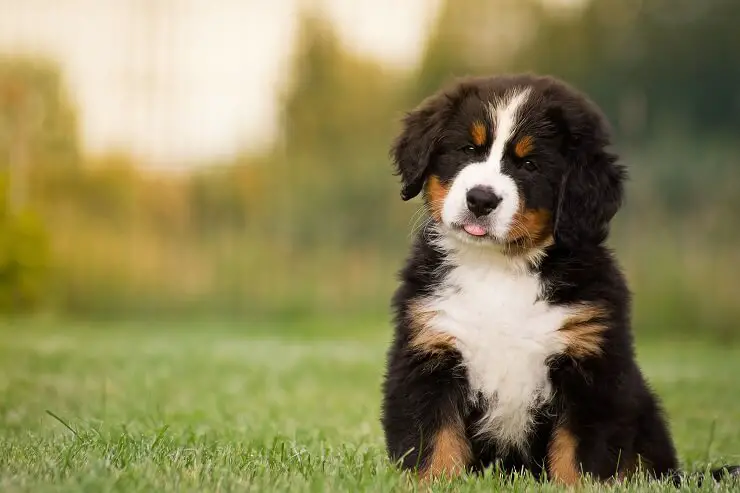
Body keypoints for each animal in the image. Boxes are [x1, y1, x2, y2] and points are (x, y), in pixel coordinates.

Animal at [378, 73, 736, 484]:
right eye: (468, 149)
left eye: (530, 165)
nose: (481, 199)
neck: (500, 268)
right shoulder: (430, 353)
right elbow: (435, 442)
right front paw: (434, 483)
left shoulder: (591, 368)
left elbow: (577, 454)